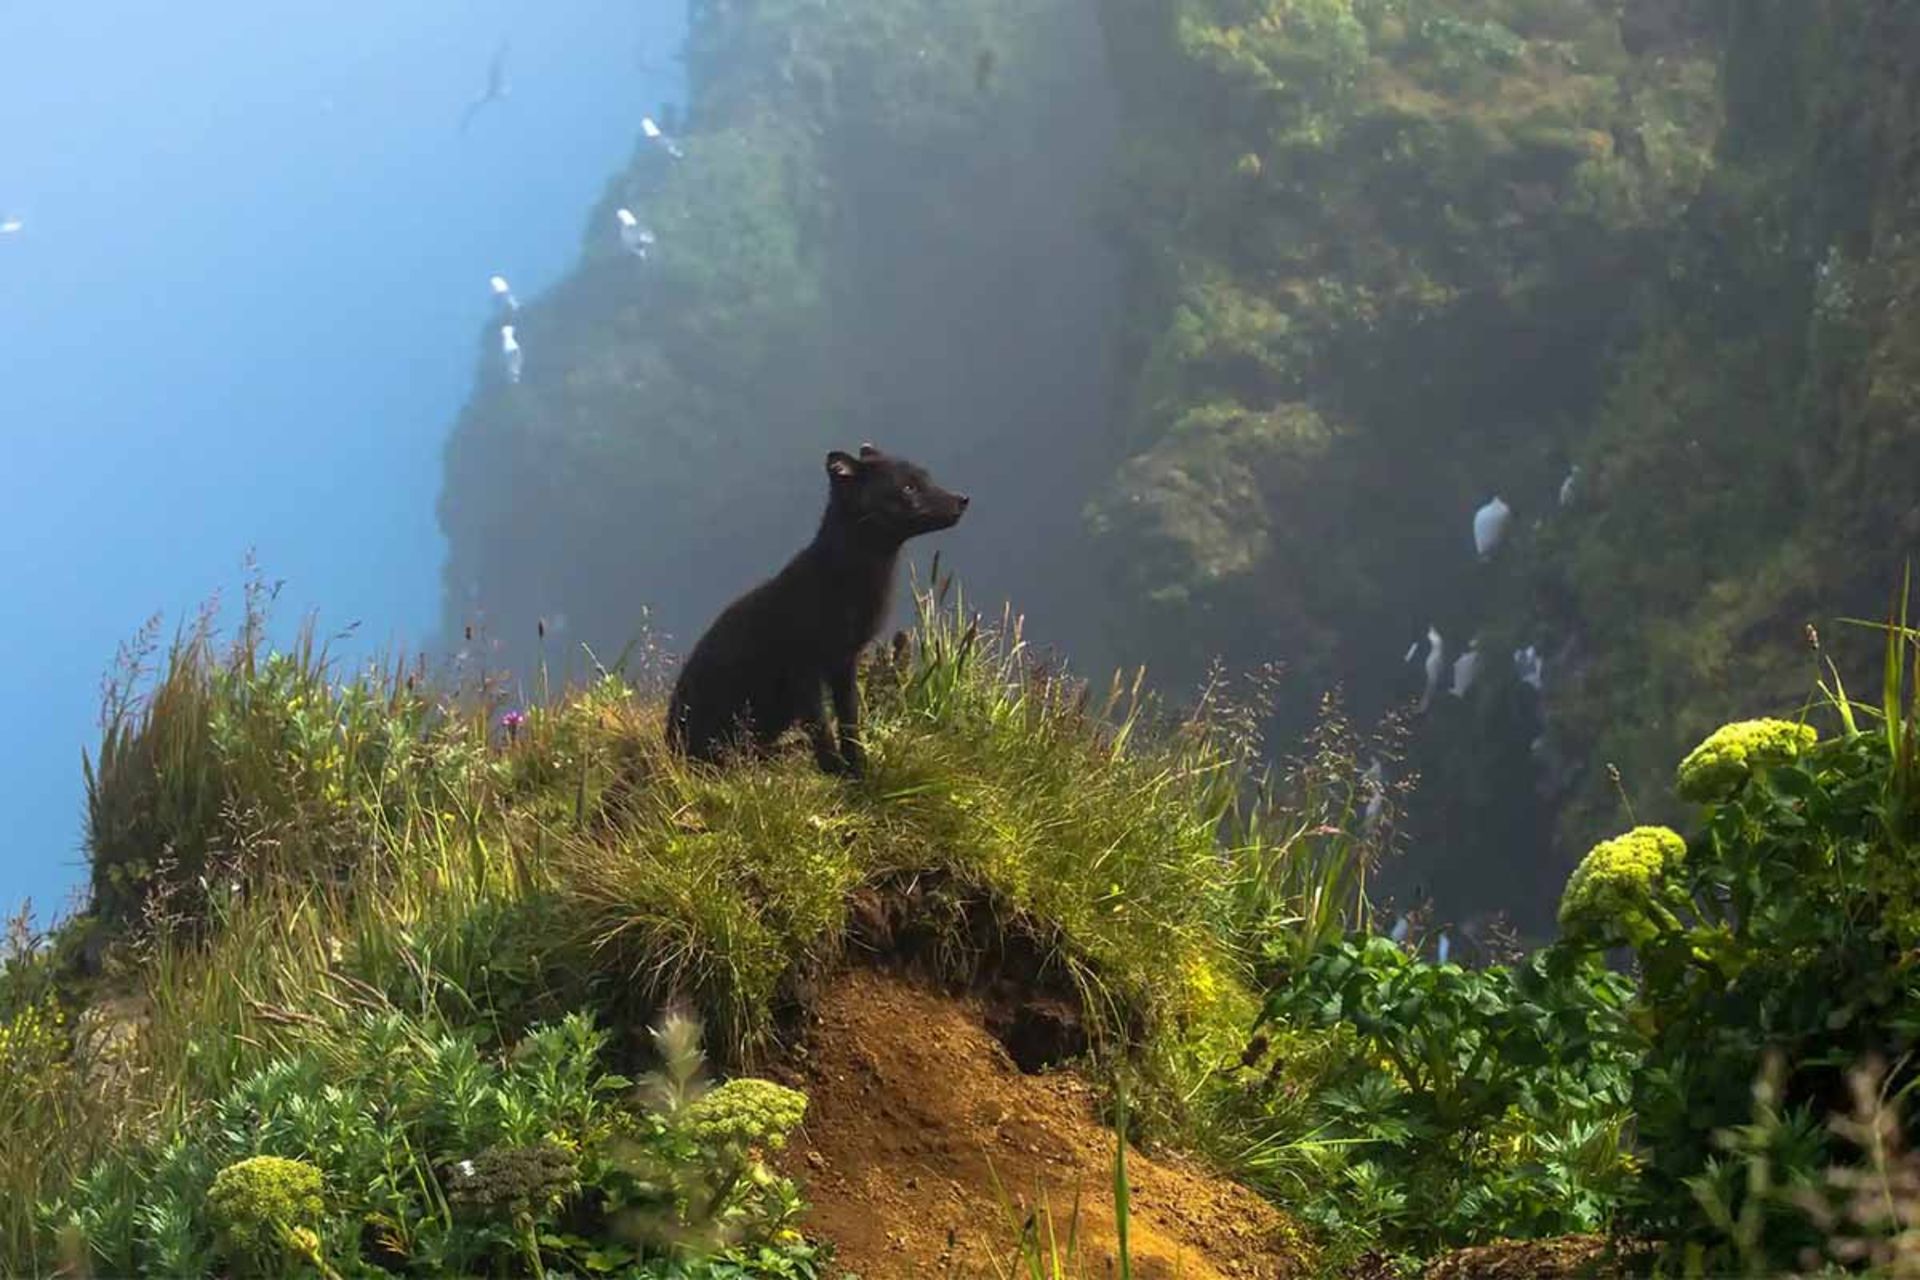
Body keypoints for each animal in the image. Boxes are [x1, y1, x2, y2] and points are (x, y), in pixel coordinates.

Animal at [664, 445, 967, 775]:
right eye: (909, 487)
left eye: (927, 477)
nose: (963, 499)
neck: (850, 586)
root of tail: (670, 745)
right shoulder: (804, 668)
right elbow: (820, 726)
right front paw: (835, 768)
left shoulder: (844, 661)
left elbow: (849, 721)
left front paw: (858, 767)